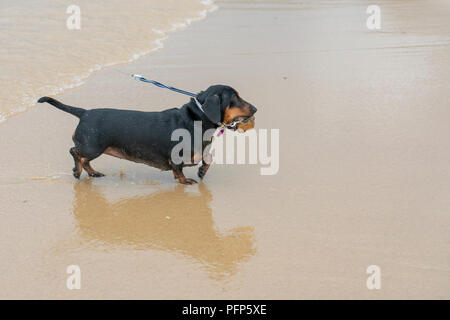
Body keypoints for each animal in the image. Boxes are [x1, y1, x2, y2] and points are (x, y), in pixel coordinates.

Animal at [37, 85, 256, 184]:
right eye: (235, 98)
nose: (255, 108)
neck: (197, 117)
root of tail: (84, 112)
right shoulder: (177, 156)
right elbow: (180, 170)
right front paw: (185, 180)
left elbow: (207, 159)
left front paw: (201, 171)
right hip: (93, 147)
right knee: (75, 152)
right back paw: (77, 171)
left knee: (84, 159)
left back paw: (93, 173)